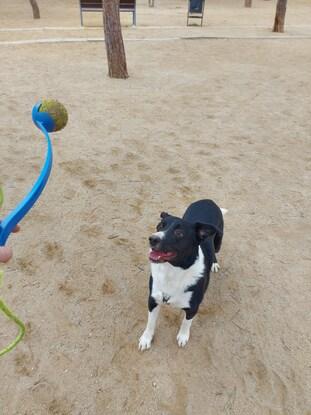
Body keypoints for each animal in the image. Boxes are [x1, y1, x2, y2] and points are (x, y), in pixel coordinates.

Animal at [139, 200, 227, 350]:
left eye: (179, 233)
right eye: (160, 226)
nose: (152, 239)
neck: (172, 271)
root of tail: (208, 200)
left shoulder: (193, 307)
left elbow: (186, 322)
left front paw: (183, 336)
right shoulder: (153, 300)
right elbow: (150, 322)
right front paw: (146, 338)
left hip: (218, 241)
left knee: (215, 251)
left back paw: (214, 263)